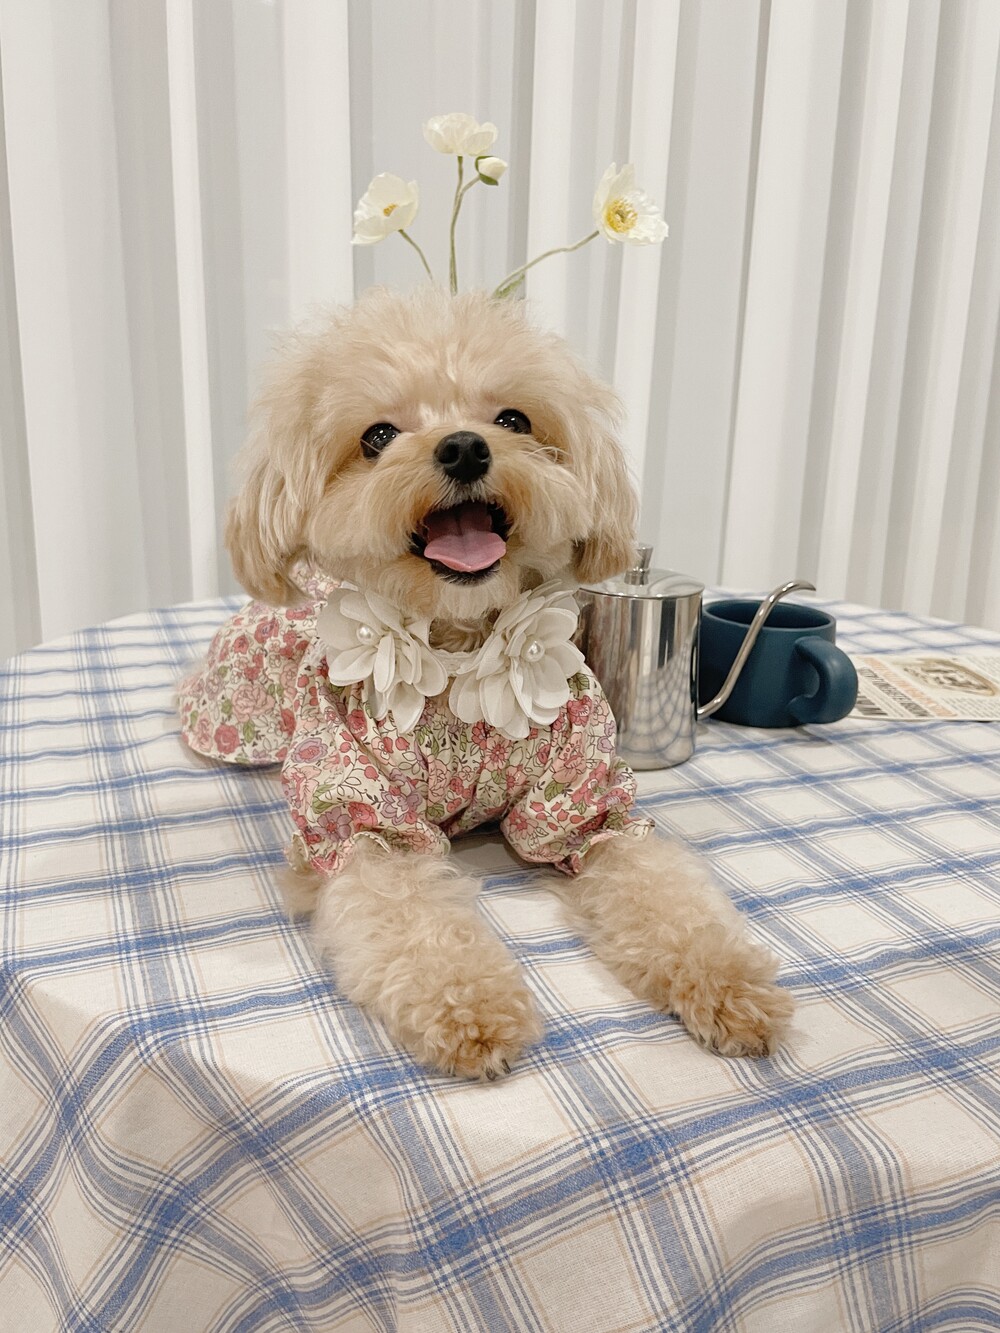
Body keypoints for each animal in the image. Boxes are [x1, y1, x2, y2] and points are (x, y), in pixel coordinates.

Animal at [179, 286, 793, 1080]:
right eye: (378, 436)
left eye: (513, 420)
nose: (465, 446)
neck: (460, 653)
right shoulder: (364, 824)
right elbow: (415, 922)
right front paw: (470, 1010)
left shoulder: (589, 807)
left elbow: (663, 891)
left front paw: (730, 982)